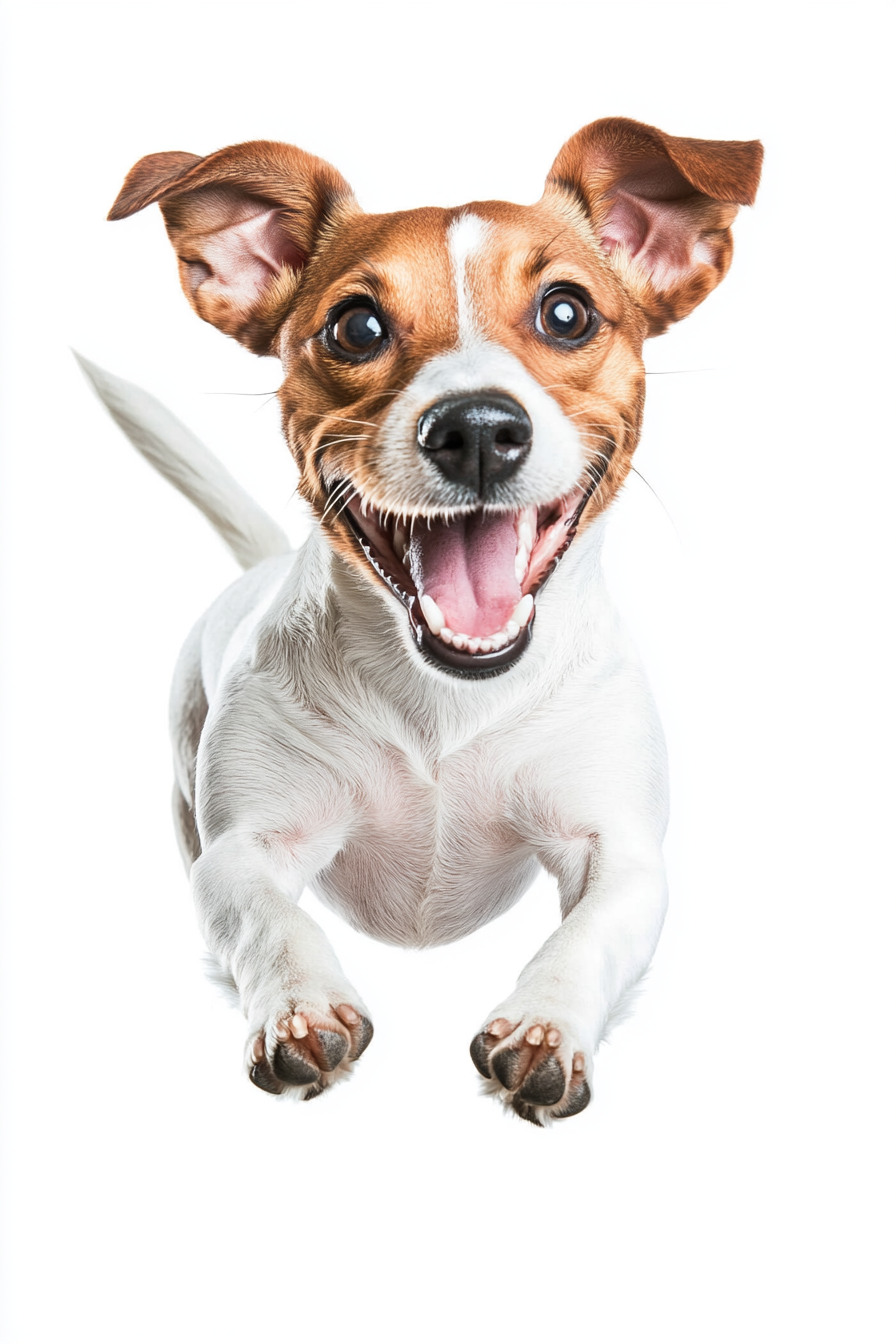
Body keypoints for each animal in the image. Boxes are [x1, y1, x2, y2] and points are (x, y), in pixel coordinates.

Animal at [78, 118, 763, 1123]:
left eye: (567, 313)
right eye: (356, 326)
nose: (476, 429)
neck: (446, 697)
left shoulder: (621, 851)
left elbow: (590, 932)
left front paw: (544, 1025)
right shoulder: (243, 851)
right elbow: (267, 920)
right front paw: (297, 1008)